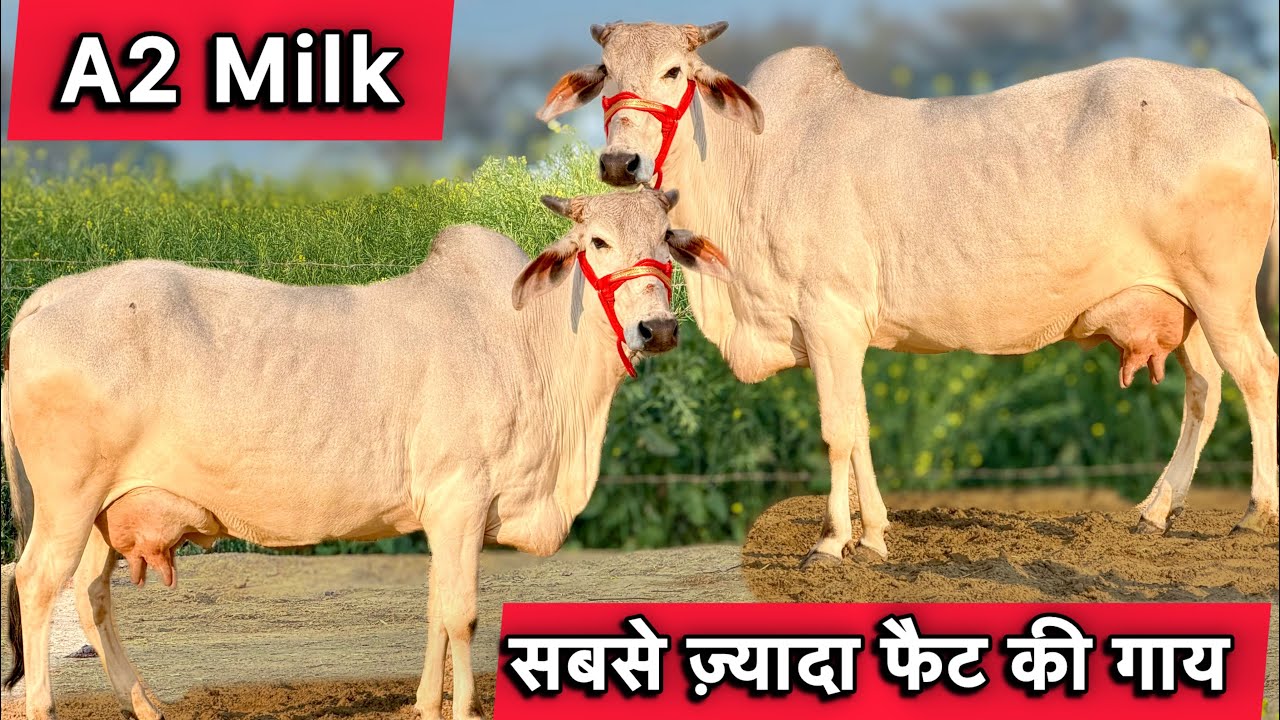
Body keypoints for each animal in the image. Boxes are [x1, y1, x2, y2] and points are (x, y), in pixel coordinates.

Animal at [1, 187, 730, 720]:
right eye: (598, 242)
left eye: (667, 240)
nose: (657, 328)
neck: (529, 343)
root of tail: (41, 302)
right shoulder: (460, 497)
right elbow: (461, 613)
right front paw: (459, 710)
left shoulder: (446, 513)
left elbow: (436, 606)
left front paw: (426, 705)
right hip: (68, 501)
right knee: (36, 583)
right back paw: (44, 708)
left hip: (107, 509)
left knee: (91, 595)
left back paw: (146, 704)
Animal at [538, 21, 1279, 565]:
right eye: (605, 74)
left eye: (674, 72)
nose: (619, 163)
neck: (751, 166)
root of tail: (1223, 87)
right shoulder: (839, 336)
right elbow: (861, 425)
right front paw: (873, 533)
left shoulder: (831, 317)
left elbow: (838, 429)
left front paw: (834, 540)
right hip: (1185, 306)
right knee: (1205, 390)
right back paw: (1157, 510)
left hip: (1222, 293)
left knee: (1256, 374)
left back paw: (1255, 513)